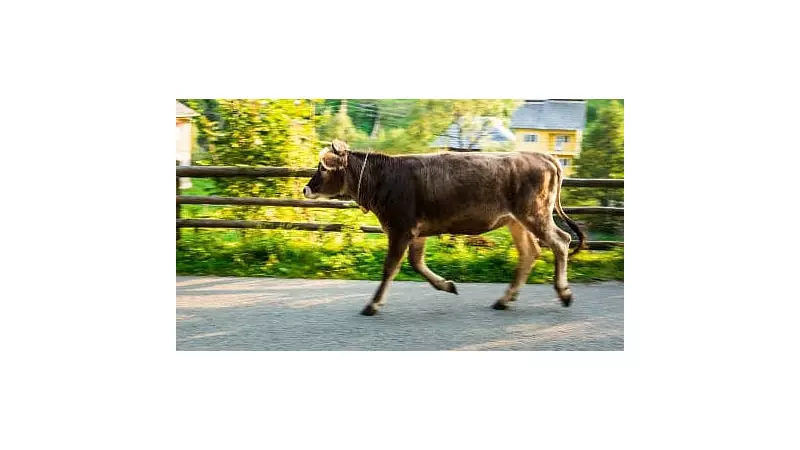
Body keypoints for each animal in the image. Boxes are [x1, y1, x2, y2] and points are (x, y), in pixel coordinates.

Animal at [303, 139, 586, 316]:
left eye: (322, 168)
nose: (306, 188)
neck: (384, 178)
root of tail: (541, 155)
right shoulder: (415, 231)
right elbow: (416, 263)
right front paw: (447, 285)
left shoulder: (401, 228)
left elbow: (390, 268)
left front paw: (372, 304)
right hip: (517, 221)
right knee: (530, 252)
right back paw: (505, 300)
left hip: (534, 214)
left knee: (561, 240)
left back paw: (564, 293)